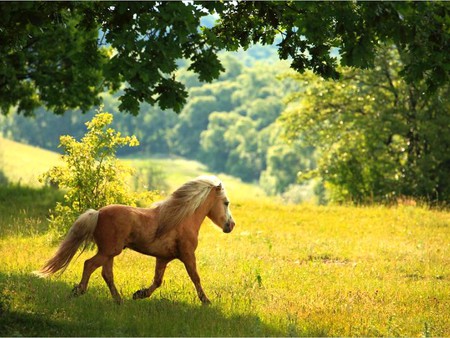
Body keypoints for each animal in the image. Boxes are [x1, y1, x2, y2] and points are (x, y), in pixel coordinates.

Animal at [35, 176, 236, 304]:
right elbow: (195, 278)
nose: (231, 225)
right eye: (226, 203)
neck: (181, 219)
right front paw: (206, 301)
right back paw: (79, 291)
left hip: (109, 252)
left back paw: (119, 300)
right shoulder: (187, 255)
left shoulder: (163, 258)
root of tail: (98, 213)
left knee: (106, 274)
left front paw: (139, 294)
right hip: (109, 251)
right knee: (89, 264)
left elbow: (157, 281)